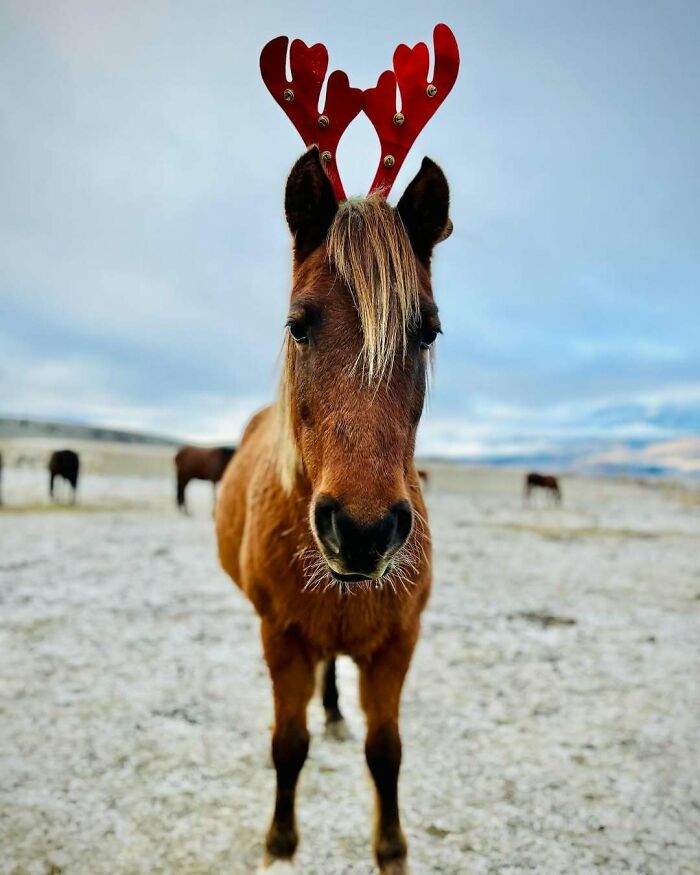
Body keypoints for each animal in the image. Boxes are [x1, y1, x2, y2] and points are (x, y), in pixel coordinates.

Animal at [216, 147, 452, 872]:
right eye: (298, 325)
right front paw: (280, 844)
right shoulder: (281, 637)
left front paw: (391, 849)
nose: (362, 529)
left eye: (427, 331)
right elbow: (287, 746)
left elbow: (388, 752)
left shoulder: (398, 642)